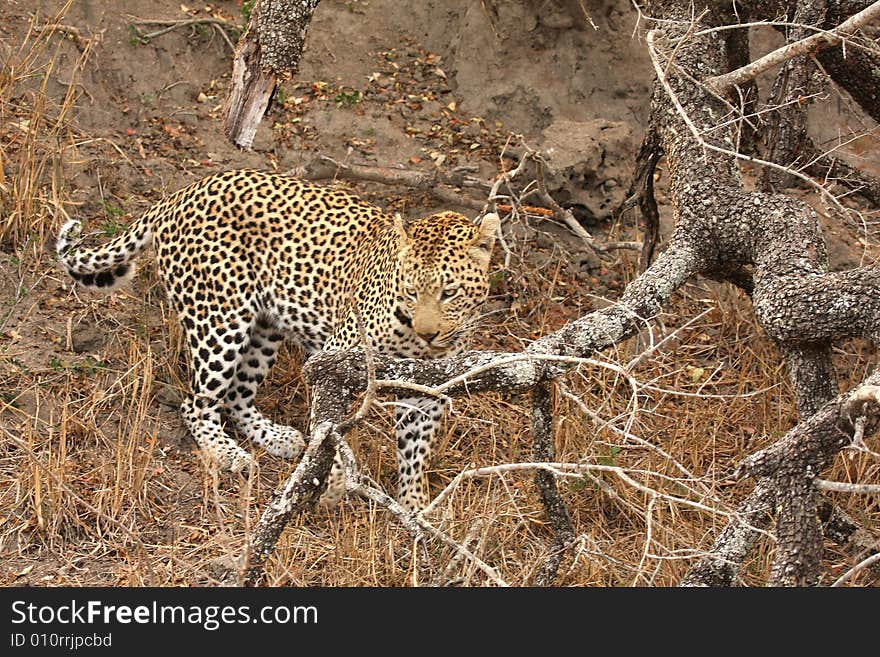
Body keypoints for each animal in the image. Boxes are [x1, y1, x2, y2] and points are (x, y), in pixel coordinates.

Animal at [56, 168, 502, 508]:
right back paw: (228, 454)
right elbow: (328, 433)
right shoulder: (335, 362)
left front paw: (414, 509)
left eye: (449, 293)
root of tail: (180, 195)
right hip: (220, 321)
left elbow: (415, 452)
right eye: (410, 291)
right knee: (197, 403)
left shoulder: (427, 390)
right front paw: (332, 486)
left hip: (264, 327)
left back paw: (276, 439)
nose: (428, 334)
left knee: (237, 396)